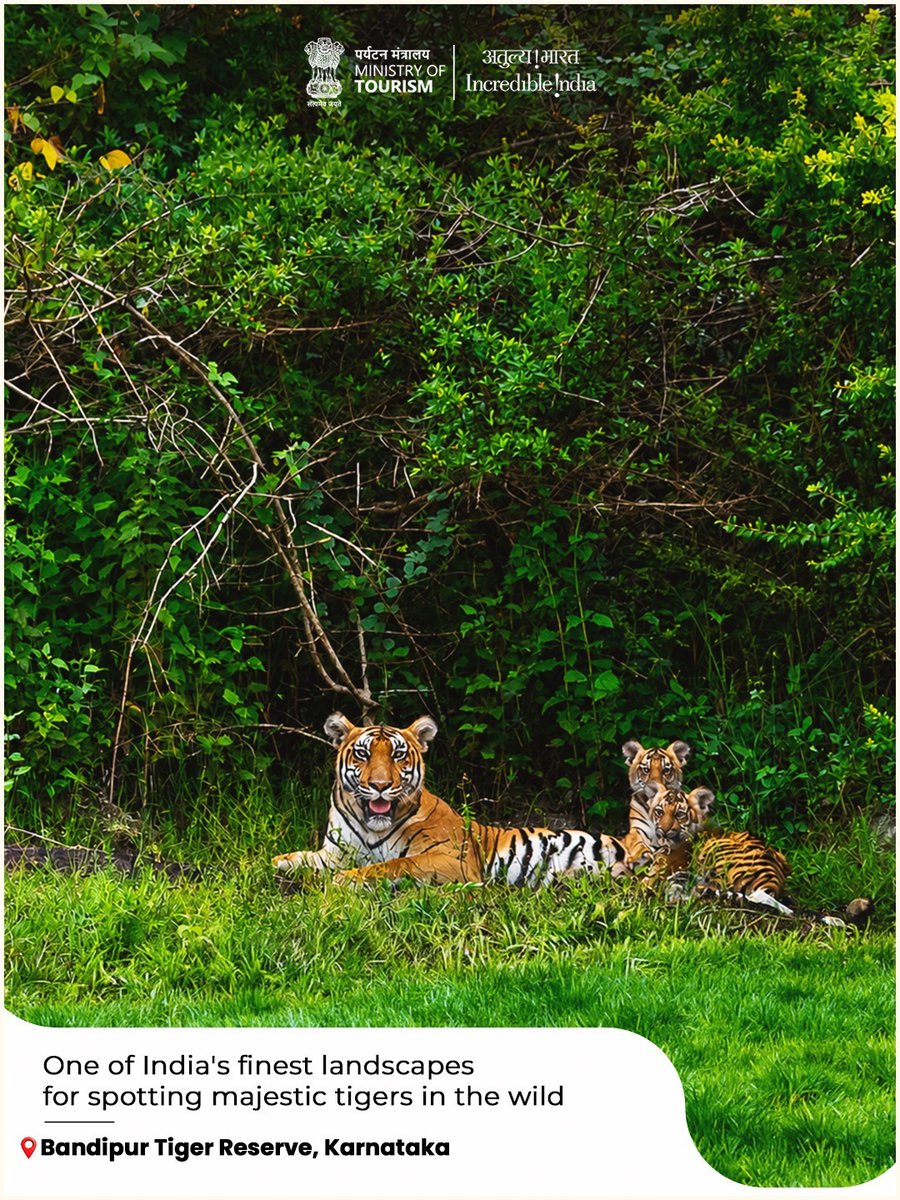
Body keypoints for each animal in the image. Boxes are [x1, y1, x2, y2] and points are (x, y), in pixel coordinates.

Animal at [272, 712, 629, 887]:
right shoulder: (335, 852)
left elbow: (393, 864)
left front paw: (346, 880)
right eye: (363, 754)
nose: (380, 785)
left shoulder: (451, 858)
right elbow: (299, 858)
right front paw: (280, 864)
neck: (372, 825)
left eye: (398, 755)